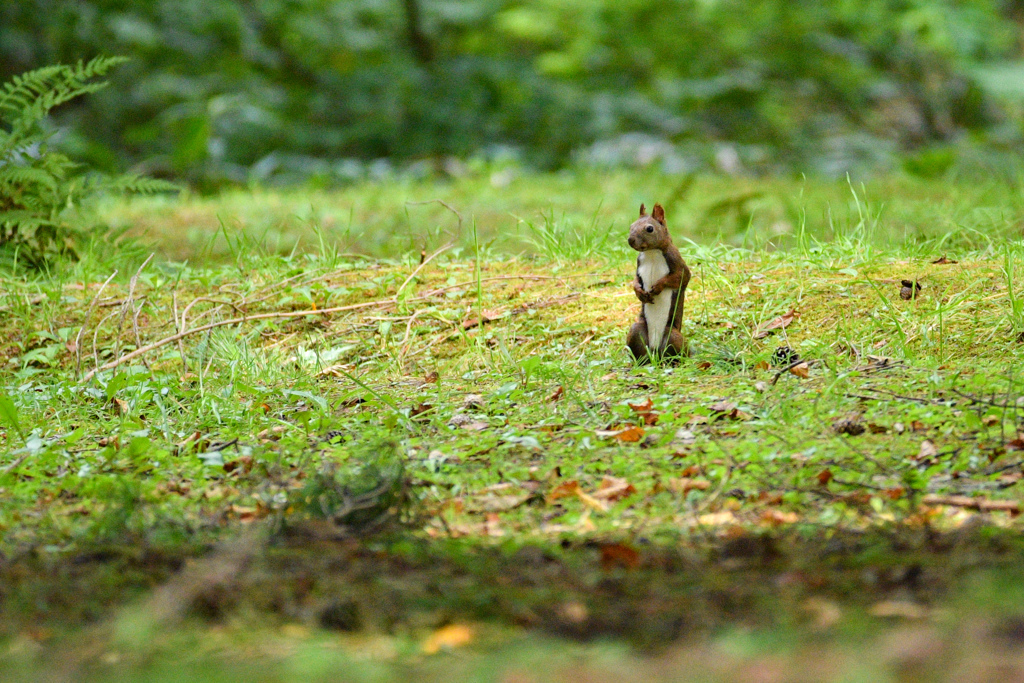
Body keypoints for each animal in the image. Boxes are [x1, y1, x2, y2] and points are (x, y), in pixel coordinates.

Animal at [618, 202, 692, 362]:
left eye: (650, 229)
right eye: (631, 226)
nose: (630, 240)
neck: (651, 253)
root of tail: (655, 352)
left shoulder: (676, 261)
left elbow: (681, 278)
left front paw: (658, 286)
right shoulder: (639, 264)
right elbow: (636, 280)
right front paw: (639, 292)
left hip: (673, 336)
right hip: (636, 332)